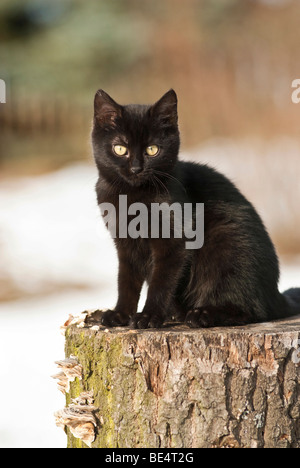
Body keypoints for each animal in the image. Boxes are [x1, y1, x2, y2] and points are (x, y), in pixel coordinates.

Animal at [92, 88, 300, 330]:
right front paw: (120, 314)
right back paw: (178, 314)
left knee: (249, 309)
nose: (136, 168)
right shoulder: (125, 244)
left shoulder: (174, 241)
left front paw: (149, 316)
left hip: (226, 245)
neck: (132, 196)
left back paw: (203, 314)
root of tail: (276, 295)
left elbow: (160, 282)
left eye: (152, 150)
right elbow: (126, 281)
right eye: (120, 149)